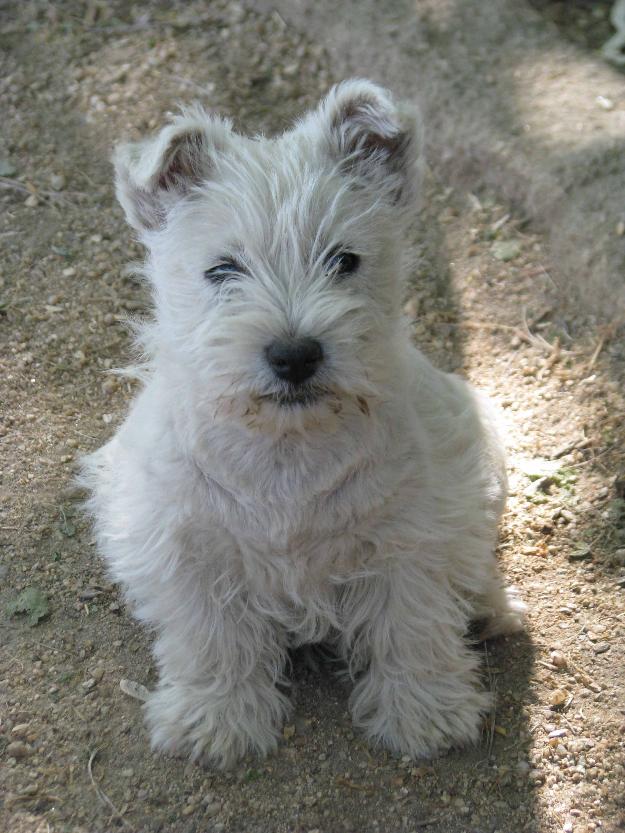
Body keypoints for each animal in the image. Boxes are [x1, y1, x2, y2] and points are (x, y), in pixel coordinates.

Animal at [80, 78, 524, 768]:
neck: (287, 449)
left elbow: (411, 623)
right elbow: (212, 636)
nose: (294, 355)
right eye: (222, 269)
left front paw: (424, 712)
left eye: (345, 260)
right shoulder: (187, 545)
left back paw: (485, 609)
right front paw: (216, 718)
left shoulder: (411, 537)